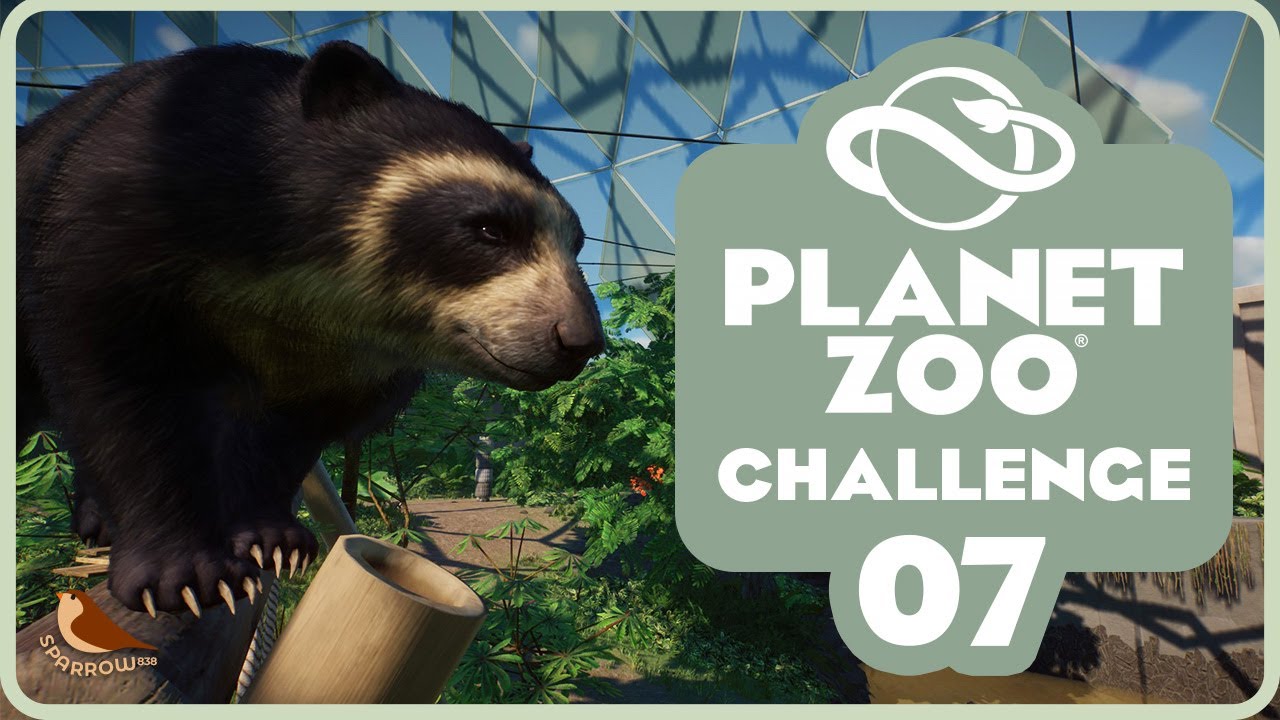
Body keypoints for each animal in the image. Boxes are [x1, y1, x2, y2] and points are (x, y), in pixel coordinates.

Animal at [17, 40, 605, 616]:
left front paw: (272, 541)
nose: (579, 342)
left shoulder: (340, 355)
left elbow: (294, 430)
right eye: (488, 229)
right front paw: (184, 575)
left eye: (576, 242)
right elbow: (122, 384)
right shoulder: (124, 218)